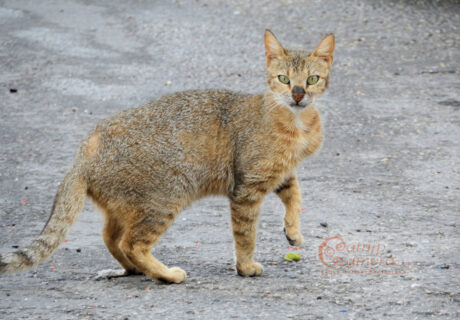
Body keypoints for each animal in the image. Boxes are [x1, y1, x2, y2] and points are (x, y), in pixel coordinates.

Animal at [0, 30, 334, 282]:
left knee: (110, 237)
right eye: (283, 78)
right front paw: (246, 266)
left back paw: (136, 270)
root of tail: (85, 149)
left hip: (128, 205)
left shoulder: (279, 173)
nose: (298, 94)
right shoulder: (247, 187)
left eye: (312, 79)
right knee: (131, 243)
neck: (298, 124)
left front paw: (293, 231)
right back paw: (165, 274)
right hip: (166, 197)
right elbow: (246, 234)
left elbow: (296, 195)